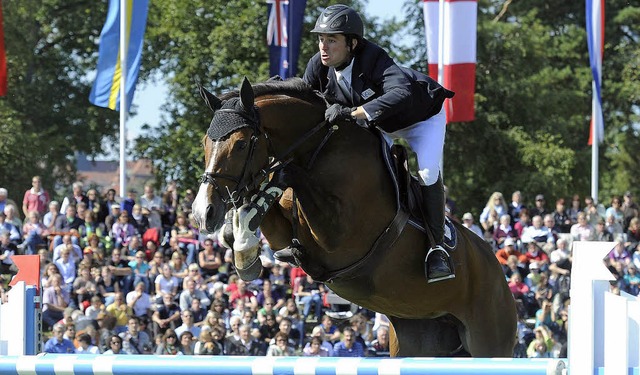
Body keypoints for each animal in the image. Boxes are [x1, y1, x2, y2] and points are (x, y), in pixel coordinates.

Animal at [192, 77, 516, 358]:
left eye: (241, 144)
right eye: (205, 142)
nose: (203, 212)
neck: (321, 147)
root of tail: (499, 272)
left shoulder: (340, 234)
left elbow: (286, 176)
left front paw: (240, 239)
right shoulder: (286, 232)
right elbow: (263, 203)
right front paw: (242, 248)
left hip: (489, 339)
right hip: (419, 339)